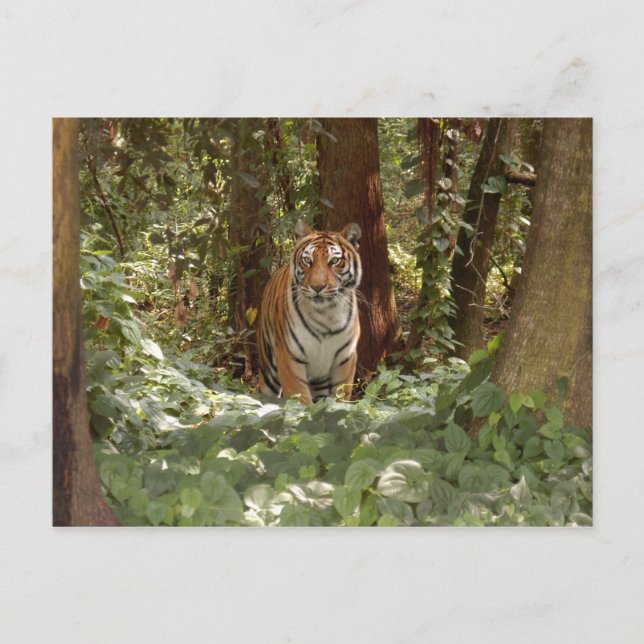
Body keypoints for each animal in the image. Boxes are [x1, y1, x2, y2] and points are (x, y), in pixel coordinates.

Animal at [257, 219, 362, 405]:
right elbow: (300, 399)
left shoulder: (345, 359)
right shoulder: (290, 357)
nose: (317, 286)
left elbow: (340, 398)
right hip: (268, 368)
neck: (327, 314)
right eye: (307, 260)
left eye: (335, 261)